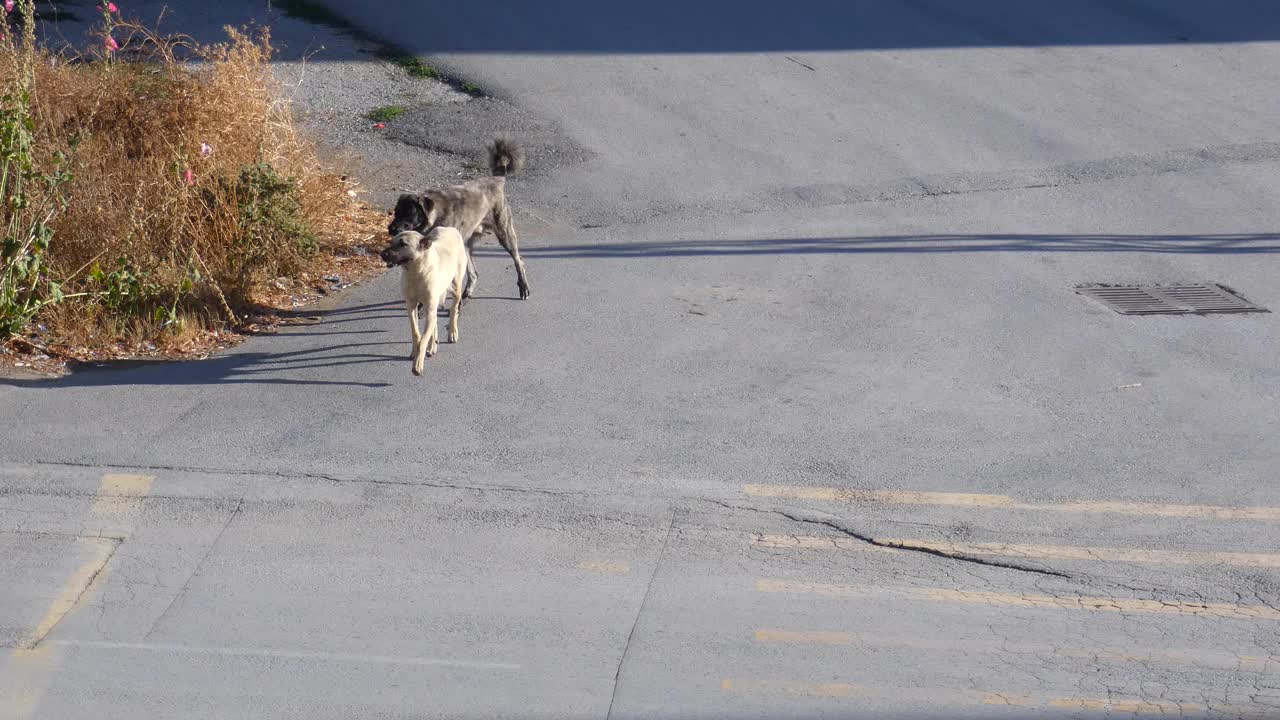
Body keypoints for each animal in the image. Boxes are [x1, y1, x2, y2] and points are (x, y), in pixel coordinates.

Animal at [378, 228, 471, 376]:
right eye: (391, 242)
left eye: (403, 244)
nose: (382, 254)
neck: (416, 273)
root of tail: (451, 229)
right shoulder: (411, 307)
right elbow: (416, 333)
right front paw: (415, 351)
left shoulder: (430, 307)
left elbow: (423, 339)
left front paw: (417, 364)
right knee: (435, 322)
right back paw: (432, 346)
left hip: (455, 288)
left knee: (453, 310)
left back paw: (452, 332)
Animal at [389, 137, 529, 297]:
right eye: (396, 211)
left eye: (410, 212)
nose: (391, 229)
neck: (435, 216)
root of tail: (496, 179)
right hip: (467, 245)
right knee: (474, 273)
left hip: (505, 234)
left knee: (519, 261)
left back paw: (523, 286)